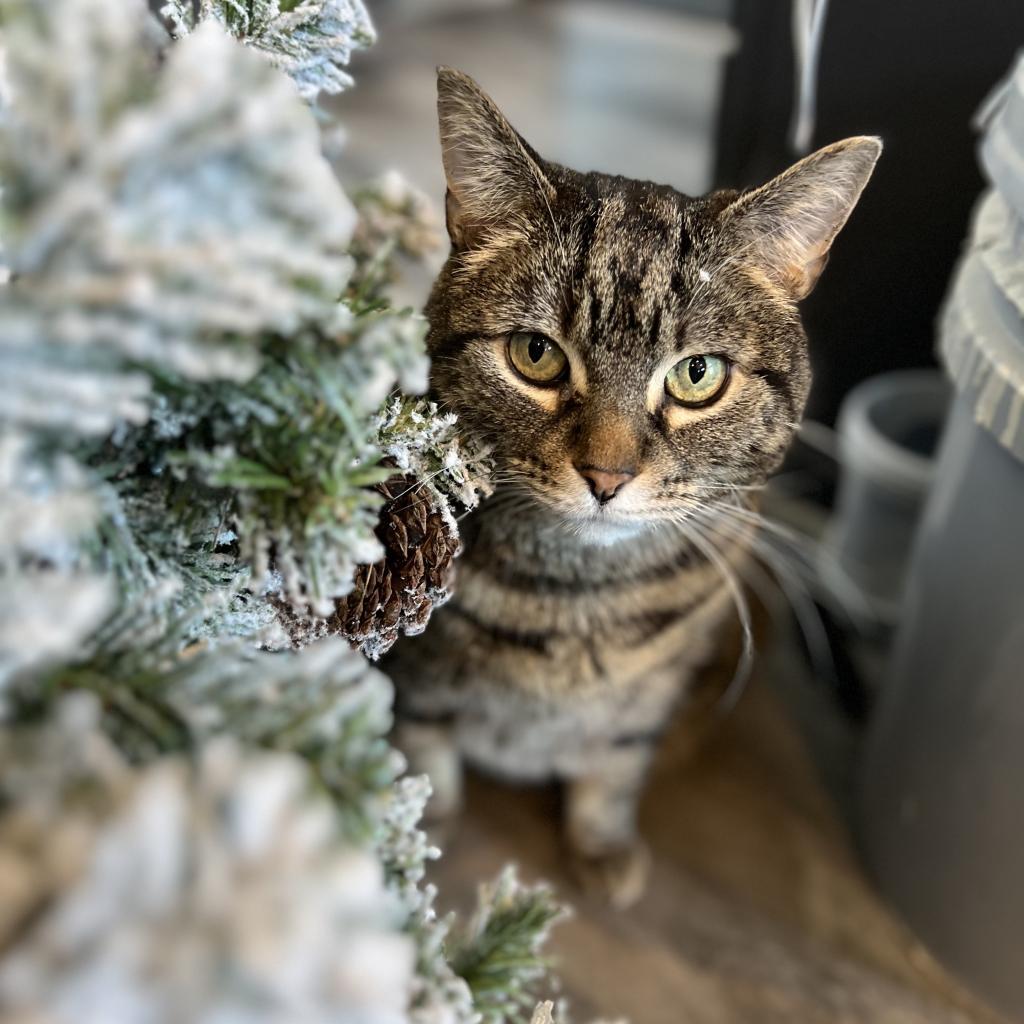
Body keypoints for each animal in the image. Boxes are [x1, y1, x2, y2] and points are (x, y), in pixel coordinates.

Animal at [385, 68, 880, 909]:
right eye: (535, 355)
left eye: (697, 374)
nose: (607, 476)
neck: (579, 601)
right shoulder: (413, 676)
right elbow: (426, 757)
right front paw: (426, 839)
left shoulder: (645, 700)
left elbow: (614, 763)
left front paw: (603, 845)